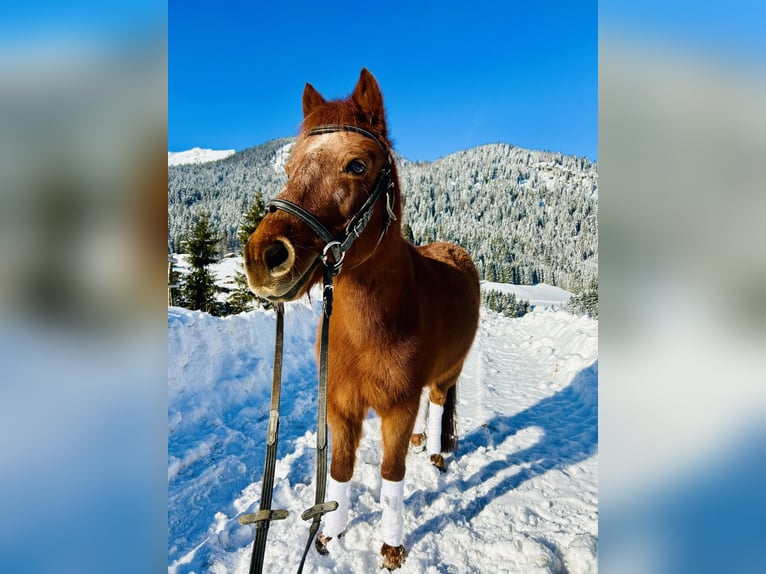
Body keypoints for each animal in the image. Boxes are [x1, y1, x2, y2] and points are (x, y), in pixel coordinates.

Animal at [246, 70, 480, 568]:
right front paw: (329, 538)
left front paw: (391, 548)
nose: (264, 256)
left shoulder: (397, 406)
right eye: (289, 169)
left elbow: (392, 473)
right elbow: (339, 470)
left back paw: (434, 454)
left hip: (447, 374)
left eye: (356, 165)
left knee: (435, 405)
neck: (368, 331)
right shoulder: (341, 406)